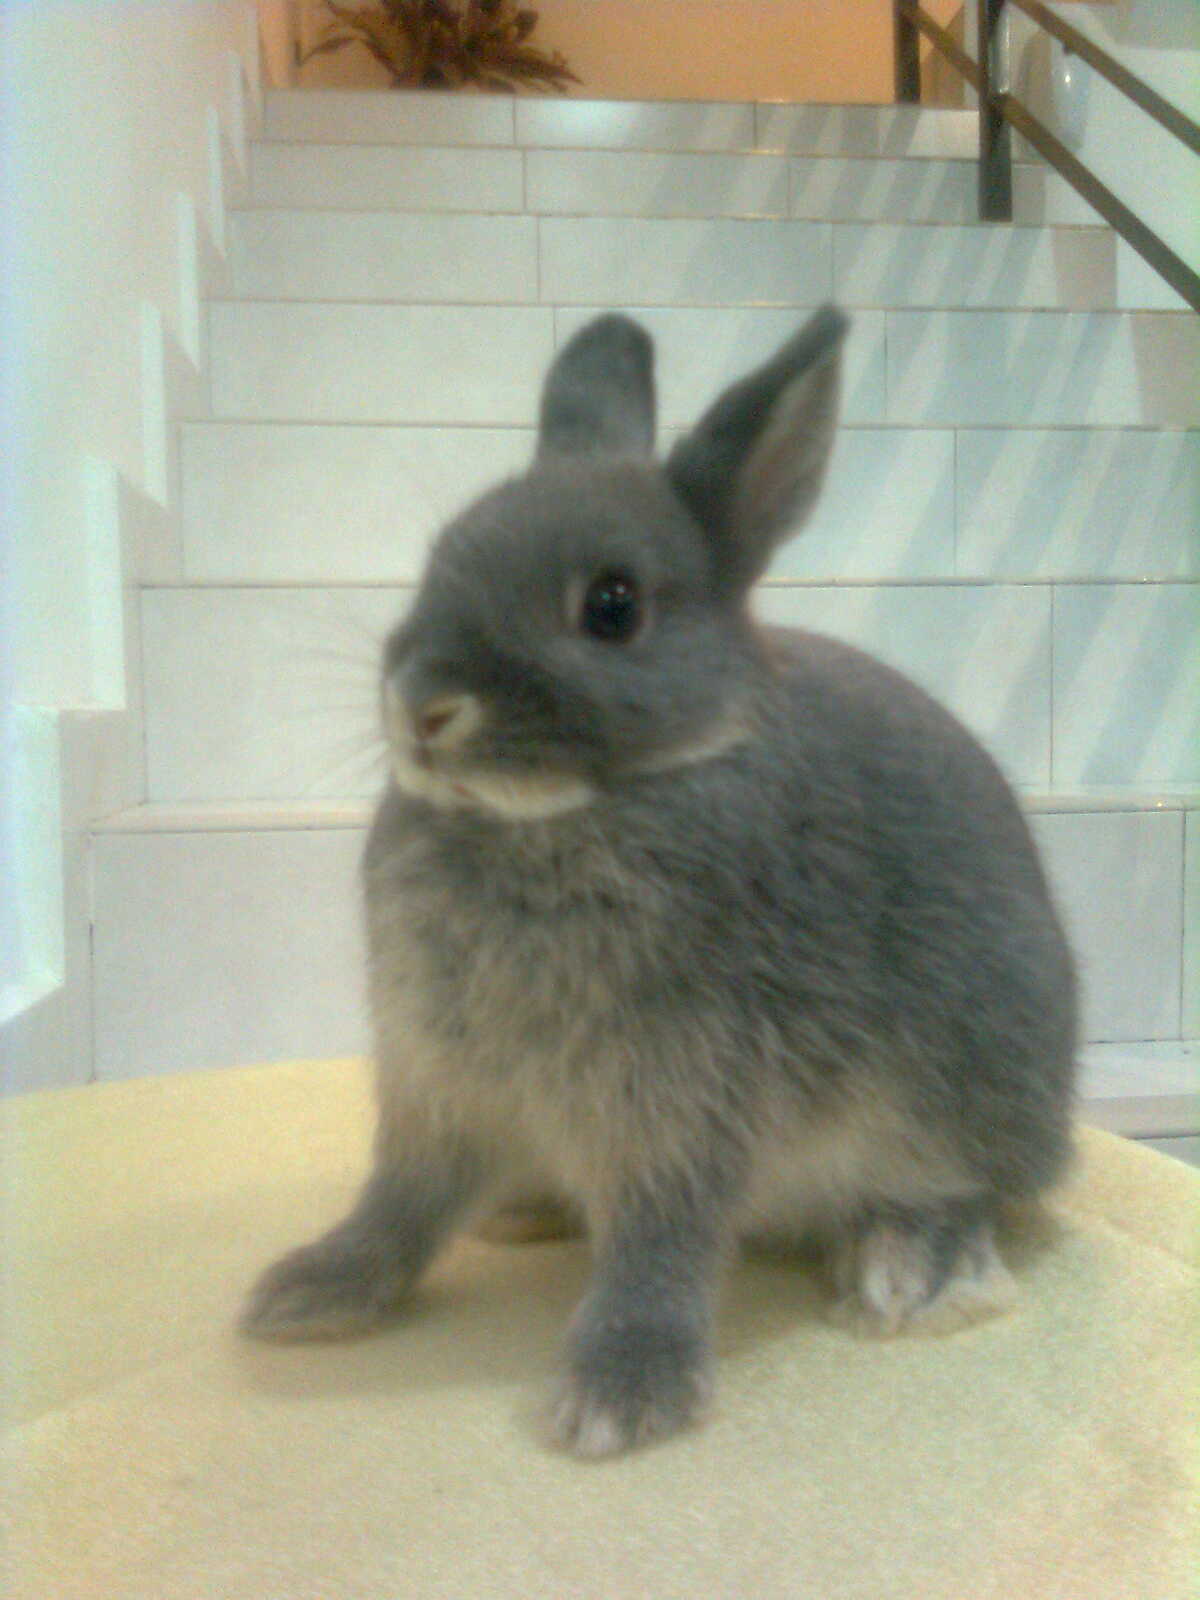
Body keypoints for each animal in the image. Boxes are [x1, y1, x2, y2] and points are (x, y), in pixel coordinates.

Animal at [241, 306, 1078, 1458]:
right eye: (438, 558)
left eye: (613, 605)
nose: (421, 703)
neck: (556, 816)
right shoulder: (438, 1082)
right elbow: (402, 1201)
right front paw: (313, 1288)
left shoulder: (682, 1092)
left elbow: (659, 1235)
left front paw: (623, 1392)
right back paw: (524, 1208)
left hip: (966, 1085)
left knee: (969, 1186)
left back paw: (912, 1268)